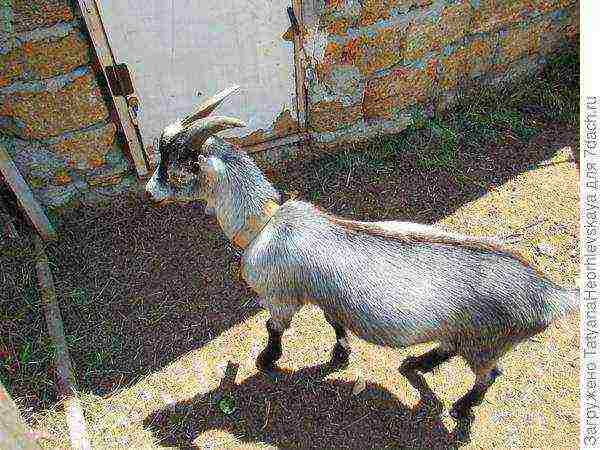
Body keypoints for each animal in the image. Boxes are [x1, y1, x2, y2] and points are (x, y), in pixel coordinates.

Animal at [143, 87, 580, 418]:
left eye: (176, 168)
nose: (149, 192)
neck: (263, 224)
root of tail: (551, 294)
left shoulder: (280, 296)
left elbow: (273, 328)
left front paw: (266, 360)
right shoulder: (326, 296)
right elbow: (336, 323)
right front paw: (340, 355)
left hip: (486, 341)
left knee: (489, 375)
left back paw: (461, 407)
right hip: (467, 333)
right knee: (451, 348)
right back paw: (417, 363)